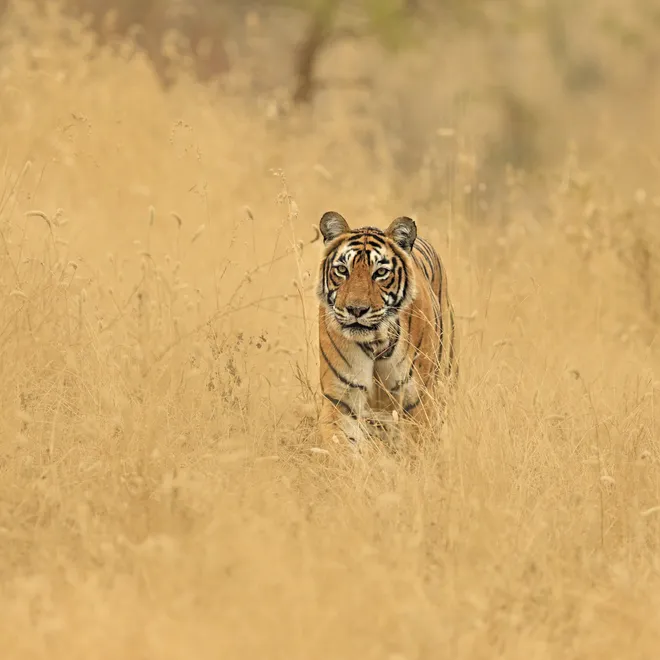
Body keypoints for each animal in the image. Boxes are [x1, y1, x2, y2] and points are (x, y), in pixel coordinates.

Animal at [316, 211, 458, 447]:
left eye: (381, 272)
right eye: (342, 270)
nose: (356, 309)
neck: (377, 342)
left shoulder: (417, 402)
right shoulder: (342, 400)